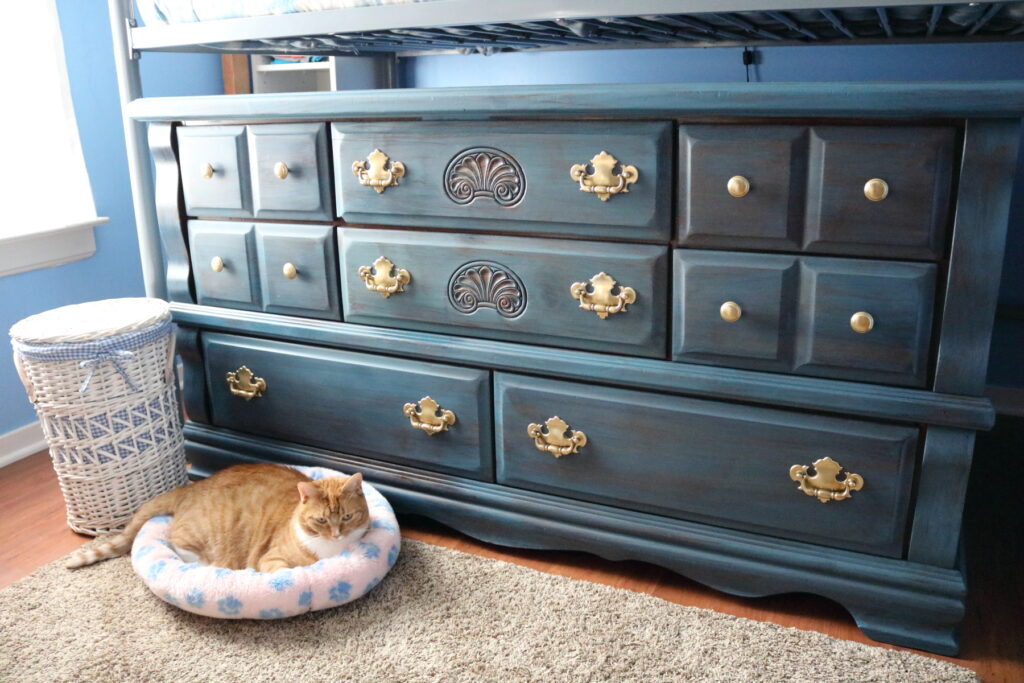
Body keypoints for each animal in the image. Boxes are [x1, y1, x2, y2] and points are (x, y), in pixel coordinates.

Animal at [65, 464, 368, 573]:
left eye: (347, 517)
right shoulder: (271, 559)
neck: (331, 550)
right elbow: (285, 573)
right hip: (199, 537)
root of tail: (190, 487)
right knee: (179, 545)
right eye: (321, 521)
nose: (336, 535)